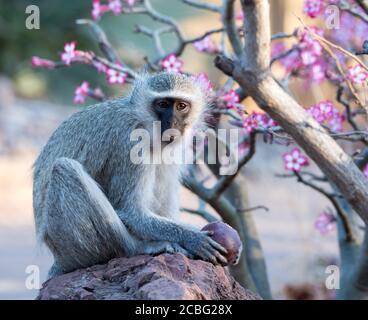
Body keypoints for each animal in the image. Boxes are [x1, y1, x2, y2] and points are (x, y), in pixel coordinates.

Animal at [33, 72, 227, 278]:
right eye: (163, 104)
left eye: (181, 106)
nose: (173, 123)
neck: (145, 124)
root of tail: (59, 259)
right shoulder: (130, 142)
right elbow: (131, 212)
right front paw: (192, 237)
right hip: (70, 247)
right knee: (65, 169)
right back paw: (137, 248)